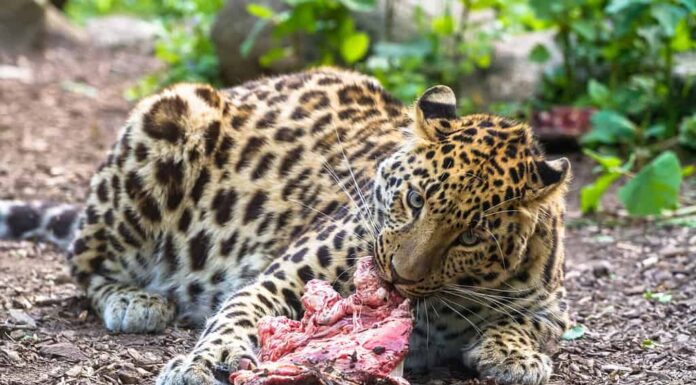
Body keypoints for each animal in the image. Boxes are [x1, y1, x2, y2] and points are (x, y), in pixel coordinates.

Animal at [1, 67, 572, 382]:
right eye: (414, 200)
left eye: (471, 236)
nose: (398, 277)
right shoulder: (281, 278)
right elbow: (239, 314)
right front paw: (203, 362)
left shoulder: (553, 306)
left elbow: (529, 324)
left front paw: (513, 356)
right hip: (173, 113)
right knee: (85, 261)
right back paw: (135, 300)